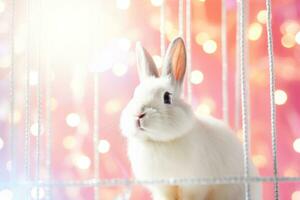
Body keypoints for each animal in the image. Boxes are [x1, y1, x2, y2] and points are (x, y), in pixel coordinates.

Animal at [119, 36, 260, 199]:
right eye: (134, 95)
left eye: (167, 97)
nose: (138, 114)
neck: (158, 142)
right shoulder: (163, 188)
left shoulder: (193, 185)